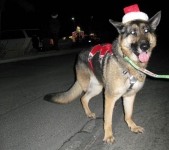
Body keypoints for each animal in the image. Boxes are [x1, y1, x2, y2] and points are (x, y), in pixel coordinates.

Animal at [43, 4, 161, 143]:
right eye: (133, 32)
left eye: (147, 31)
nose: (144, 46)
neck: (128, 63)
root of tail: (80, 54)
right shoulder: (109, 97)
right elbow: (107, 119)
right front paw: (108, 135)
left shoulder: (129, 96)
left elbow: (128, 114)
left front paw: (133, 126)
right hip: (89, 85)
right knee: (83, 96)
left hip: (97, 88)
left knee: (83, 98)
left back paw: (89, 113)